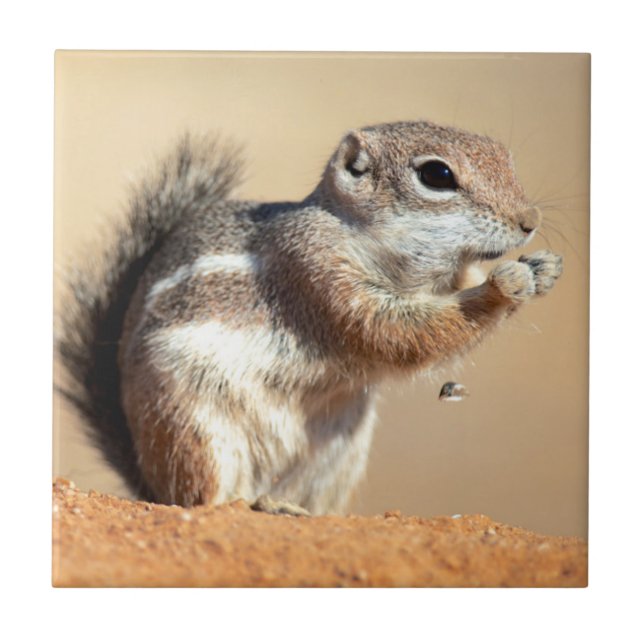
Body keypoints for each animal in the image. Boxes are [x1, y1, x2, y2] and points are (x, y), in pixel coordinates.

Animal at [58, 120, 563, 515]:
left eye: (504, 156)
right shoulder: (314, 270)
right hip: (191, 426)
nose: (530, 221)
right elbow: (397, 332)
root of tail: (148, 479)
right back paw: (249, 503)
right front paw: (504, 286)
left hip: (338, 454)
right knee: (201, 498)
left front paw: (544, 269)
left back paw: (288, 507)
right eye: (436, 174)